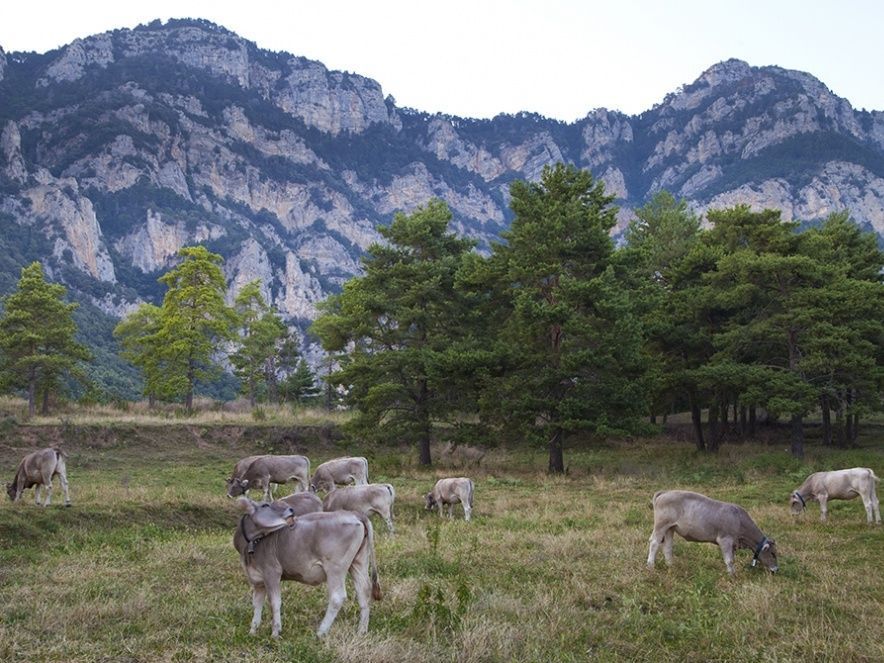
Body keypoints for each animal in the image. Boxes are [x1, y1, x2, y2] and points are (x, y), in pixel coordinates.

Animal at [233, 497, 381, 638]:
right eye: (265, 505)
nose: (291, 509)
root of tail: (355, 514)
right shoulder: (258, 581)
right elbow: (257, 604)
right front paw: (253, 631)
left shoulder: (271, 572)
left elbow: (274, 602)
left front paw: (275, 633)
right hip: (358, 561)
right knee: (364, 590)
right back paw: (361, 630)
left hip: (335, 567)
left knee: (337, 597)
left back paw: (321, 632)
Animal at [647, 490, 778, 575]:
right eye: (773, 554)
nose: (776, 569)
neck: (739, 520)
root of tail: (665, 492)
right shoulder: (725, 540)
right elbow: (729, 560)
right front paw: (732, 575)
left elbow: (732, 559)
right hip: (661, 525)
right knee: (654, 542)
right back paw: (650, 566)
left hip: (670, 528)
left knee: (667, 546)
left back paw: (670, 565)